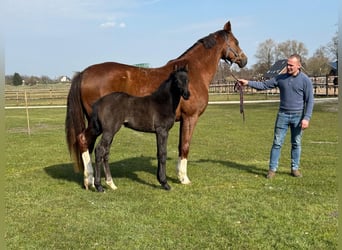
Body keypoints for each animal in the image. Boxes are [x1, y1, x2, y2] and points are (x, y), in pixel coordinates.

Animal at [65, 21, 247, 189]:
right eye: (236, 41)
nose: (244, 60)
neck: (195, 71)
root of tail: (83, 73)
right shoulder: (190, 117)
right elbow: (185, 146)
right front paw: (183, 178)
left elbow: (180, 146)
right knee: (85, 141)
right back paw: (92, 181)